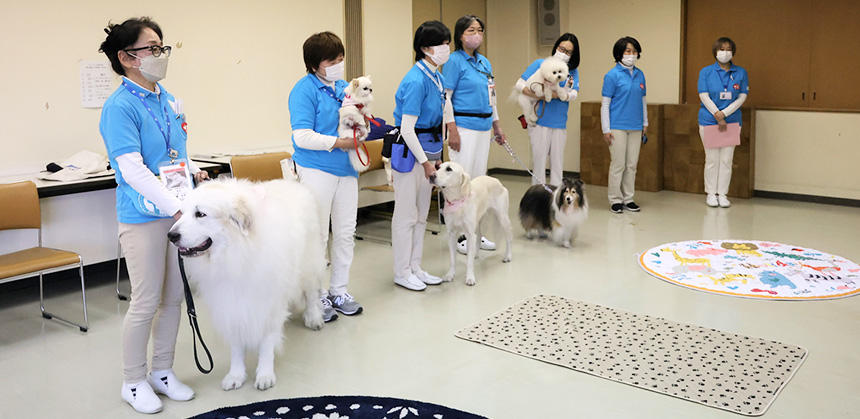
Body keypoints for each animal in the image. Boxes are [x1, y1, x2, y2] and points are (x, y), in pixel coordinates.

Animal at [167, 179, 326, 392]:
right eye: (182, 213)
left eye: (200, 214)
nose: (171, 235)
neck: (237, 254)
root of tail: (293, 183)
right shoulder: (231, 305)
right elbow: (236, 346)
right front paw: (236, 375)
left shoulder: (268, 304)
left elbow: (267, 343)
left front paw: (265, 374)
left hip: (308, 263)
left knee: (311, 293)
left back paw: (314, 317)